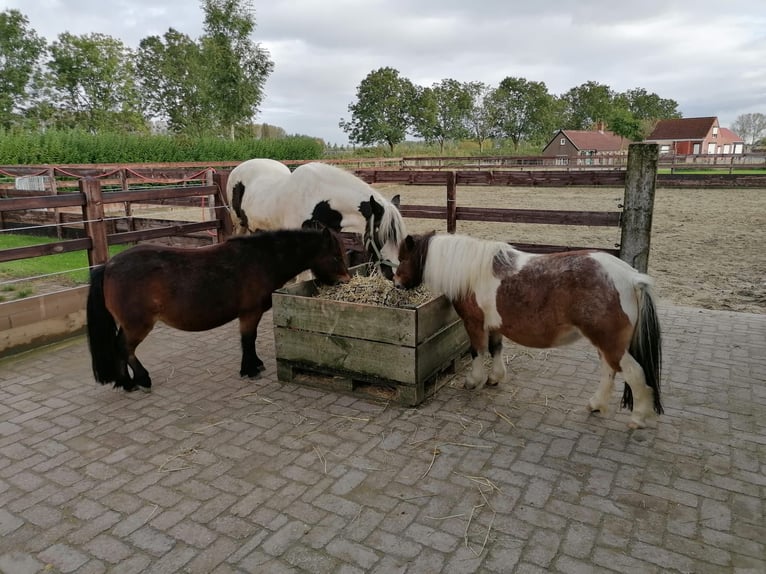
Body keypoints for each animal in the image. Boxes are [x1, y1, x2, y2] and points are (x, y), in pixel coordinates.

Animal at [87, 227, 352, 394]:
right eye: (336, 257)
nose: (346, 281)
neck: (261, 259)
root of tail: (108, 266)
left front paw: (255, 364)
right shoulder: (250, 313)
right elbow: (248, 339)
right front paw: (250, 369)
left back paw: (127, 383)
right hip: (137, 325)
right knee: (124, 348)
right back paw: (140, 380)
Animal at [396, 232, 664, 430]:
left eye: (403, 258)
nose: (396, 283)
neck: (471, 271)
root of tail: (631, 277)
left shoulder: (474, 324)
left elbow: (478, 352)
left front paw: (474, 381)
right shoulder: (494, 325)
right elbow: (495, 349)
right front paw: (494, 378)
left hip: (611, 344)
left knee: (633, 373)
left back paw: (638, 418)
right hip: (605, 343)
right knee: (609, 371)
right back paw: (596, 404)